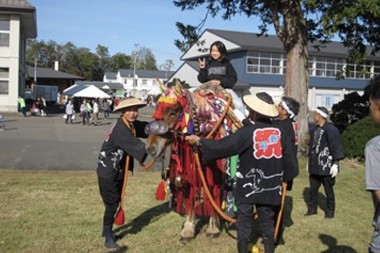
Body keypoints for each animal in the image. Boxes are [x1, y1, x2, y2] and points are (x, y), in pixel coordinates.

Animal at [144, 80, 242, 239]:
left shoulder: (216, 172)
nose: (150, 147)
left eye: (173, 112)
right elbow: (189, 190)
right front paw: (188, 228)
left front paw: (213, 227)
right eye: (157, 109)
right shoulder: (190, 167)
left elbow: (212, 192)